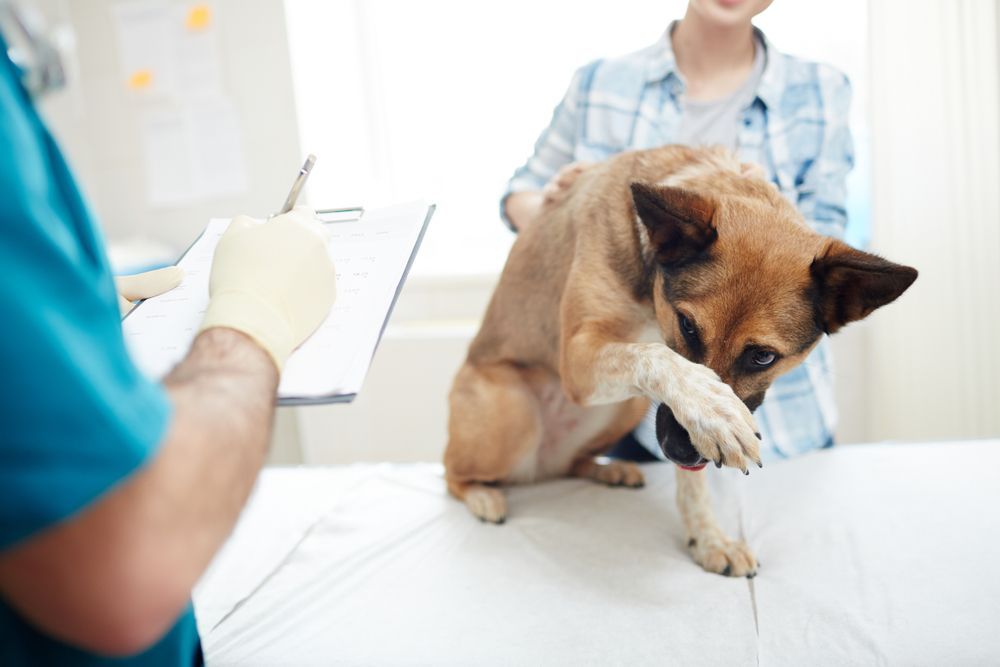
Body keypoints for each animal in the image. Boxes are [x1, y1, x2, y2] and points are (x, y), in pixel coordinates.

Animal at [446, 145, 916, 576]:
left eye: (764, 356)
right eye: (687, 326)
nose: (677, 449)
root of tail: (540, 468)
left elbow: (694, 482)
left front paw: (708, 538)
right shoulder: (578, 360)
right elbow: (656, 358)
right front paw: (712, 411)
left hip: (624, 406)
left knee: (570, 465)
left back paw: (605, 470)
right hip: (514, 412)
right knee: (452, 475)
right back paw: (483, 495)